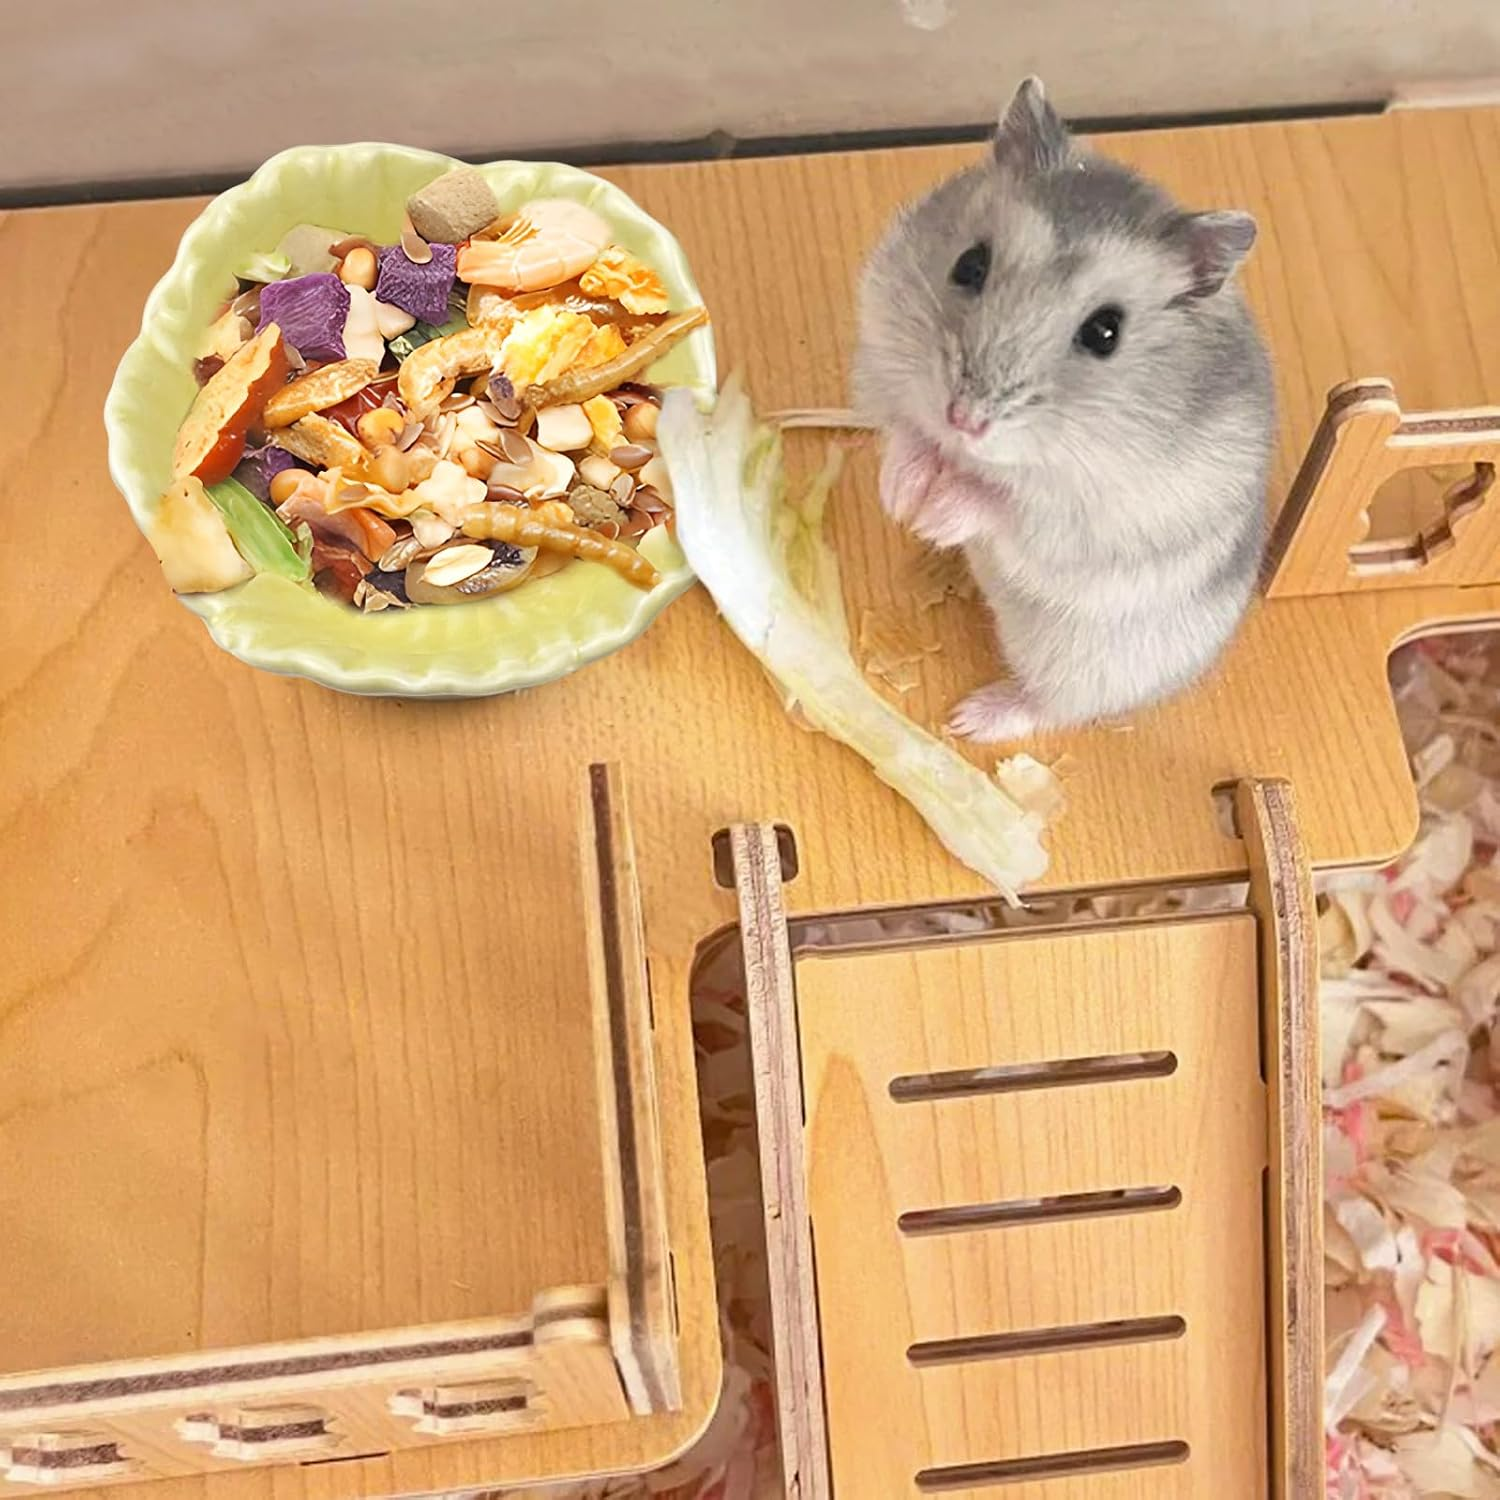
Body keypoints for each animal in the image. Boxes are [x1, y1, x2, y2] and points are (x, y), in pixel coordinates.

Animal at [855, 76, 1275, 741]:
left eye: (1105, 333)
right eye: (970, 264)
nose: (963, 420)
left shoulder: (1092, 515)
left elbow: (1004, 503)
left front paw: (932, 515)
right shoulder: (882, 363)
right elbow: (904, 434)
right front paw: (901, 500)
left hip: (1083, 660)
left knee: (1053, 707)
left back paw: (970, 721)